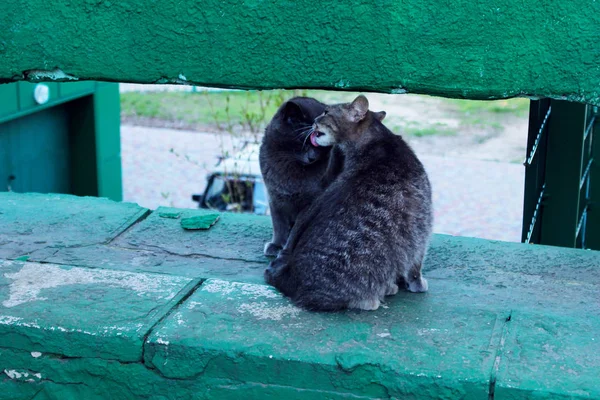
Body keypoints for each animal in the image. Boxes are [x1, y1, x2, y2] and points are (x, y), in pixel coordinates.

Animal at [260, 98, 330, 258]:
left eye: (322, 144)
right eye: (302, 140)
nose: (312, 157)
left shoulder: (310, 203)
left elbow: (296, 231)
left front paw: (285, 251)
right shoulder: (274, 197)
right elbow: (279, 225)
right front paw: (276, 245)